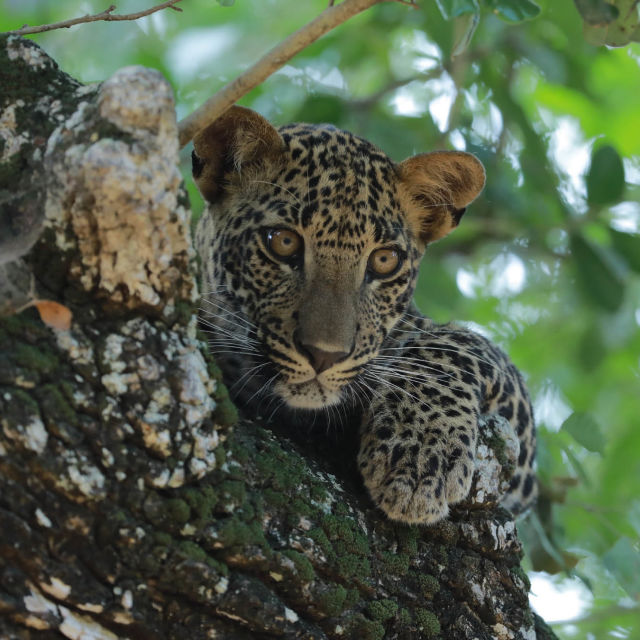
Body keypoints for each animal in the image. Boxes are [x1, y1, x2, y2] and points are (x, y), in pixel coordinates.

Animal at [192, 105, 537, 524]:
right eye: (283, 242)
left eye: (384, 261)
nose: (324, 356)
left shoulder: (523, 471)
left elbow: (459, 344)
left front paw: (421, 455)